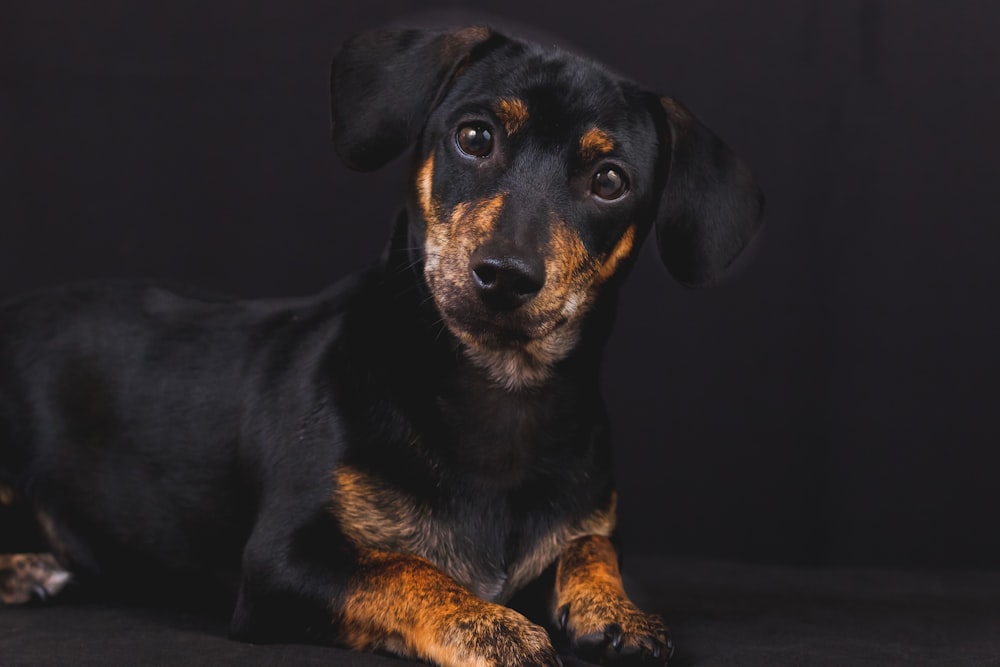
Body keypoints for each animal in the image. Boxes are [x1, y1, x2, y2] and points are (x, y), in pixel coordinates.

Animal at [0, 24, 760, 667]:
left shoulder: (588, 520)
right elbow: (407, 568)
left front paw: (617, 609)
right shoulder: (284, 561)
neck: (496, 396)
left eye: (609, 181)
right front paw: (497, 628)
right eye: (474, 136)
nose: (506, 274)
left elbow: (593, 545)